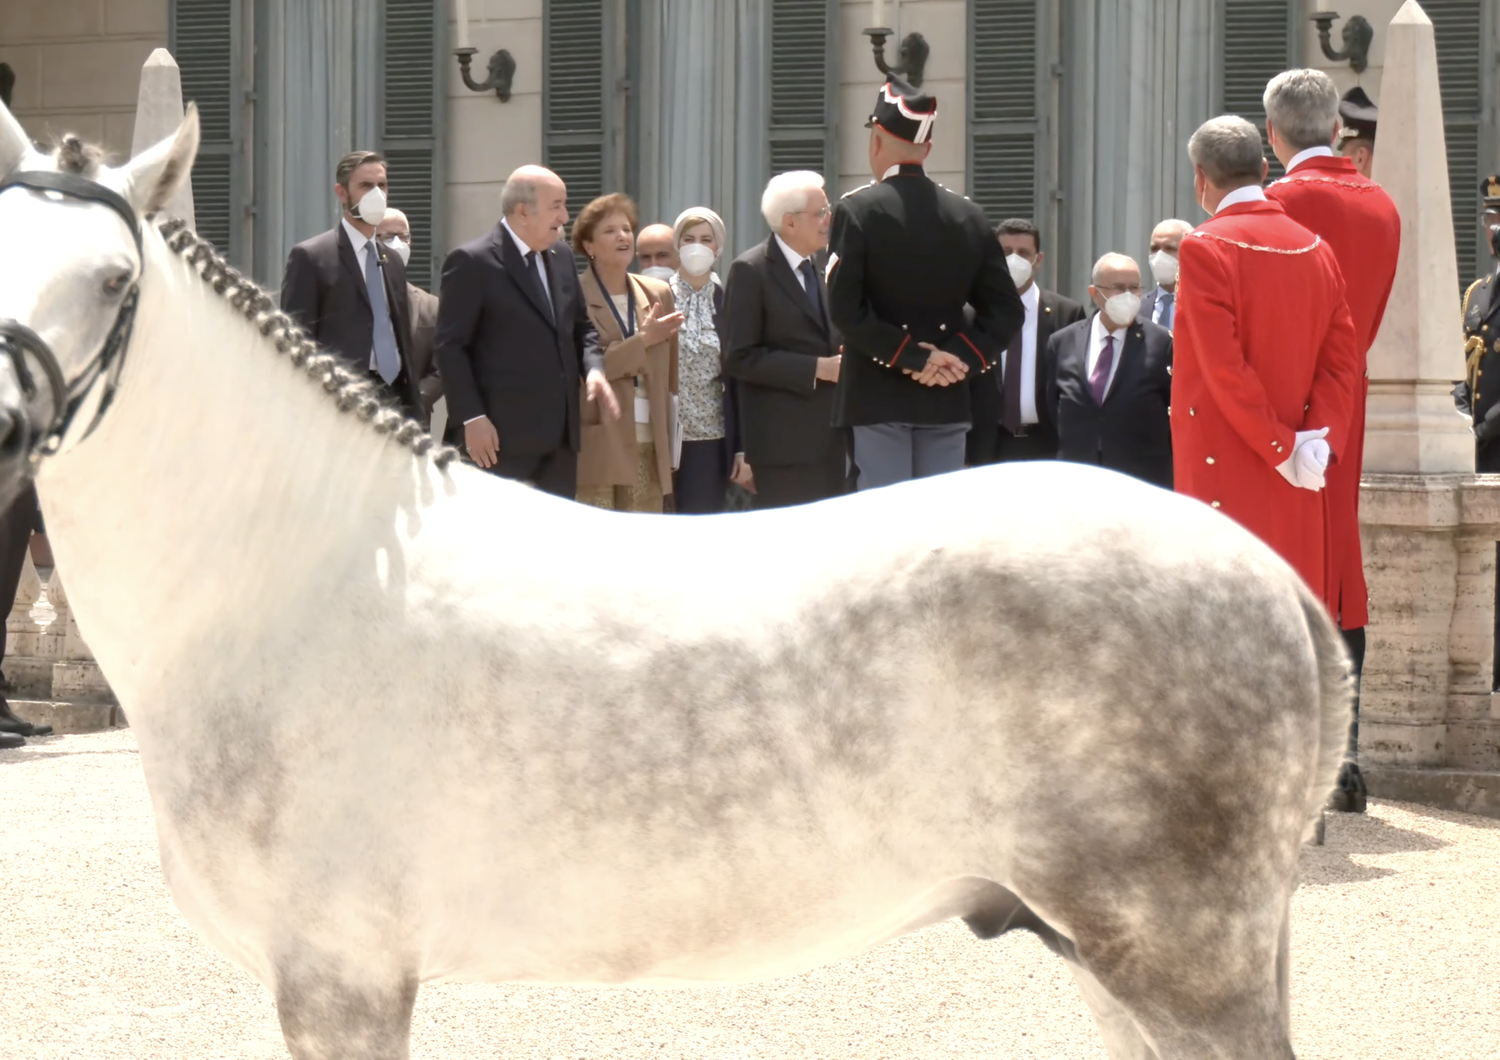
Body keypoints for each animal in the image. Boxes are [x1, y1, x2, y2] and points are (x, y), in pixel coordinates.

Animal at [0, 105, 1356, 1060]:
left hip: (1182, 960)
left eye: (114, 283)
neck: (296, 569)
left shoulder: (341, 973)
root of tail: (1268, 576)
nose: (5, 420)